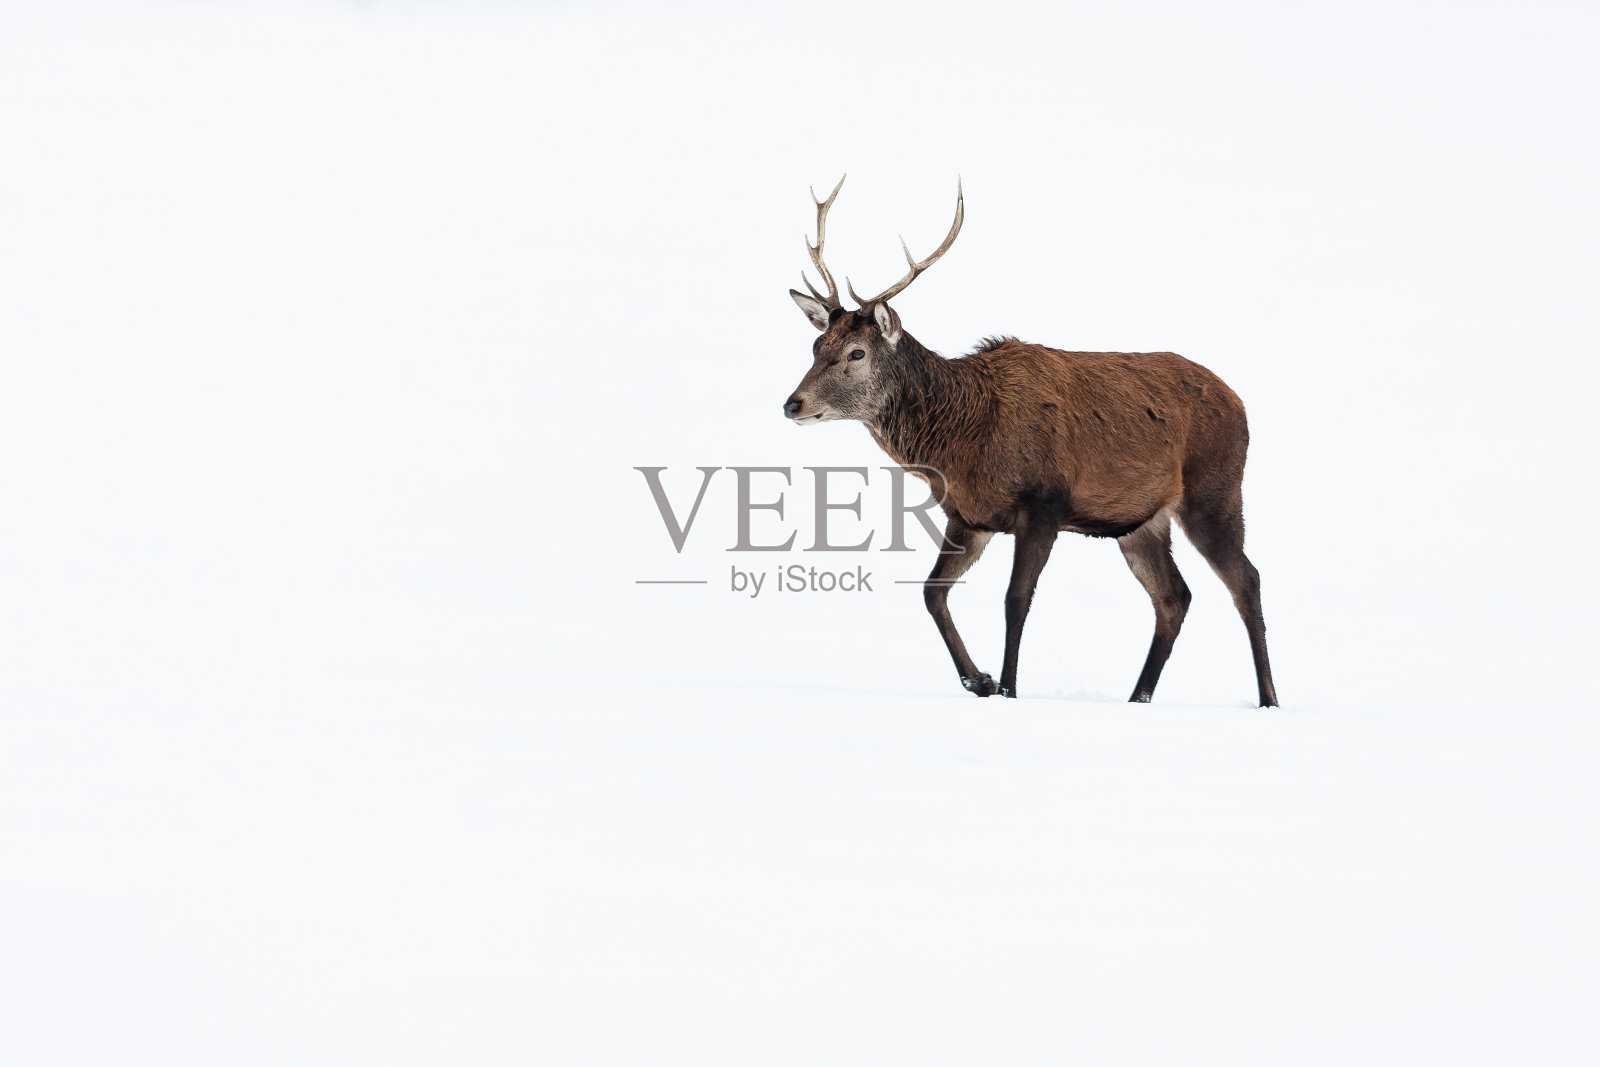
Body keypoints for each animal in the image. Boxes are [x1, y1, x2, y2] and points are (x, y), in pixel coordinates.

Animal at [784, 176, 1279, 707]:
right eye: (817, 346)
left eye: (856, 352)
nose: (792, 404)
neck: (962, 442)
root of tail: (1240, 403)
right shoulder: (968, 516)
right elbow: (932, 592)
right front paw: (979, 680)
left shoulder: (1043, 503)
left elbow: (1015, 599)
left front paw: (1007, 688)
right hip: (1140, 521)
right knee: (1174, 596)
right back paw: (1138, 697)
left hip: (1215, 492)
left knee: (1246, 579)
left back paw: (1268, 699)